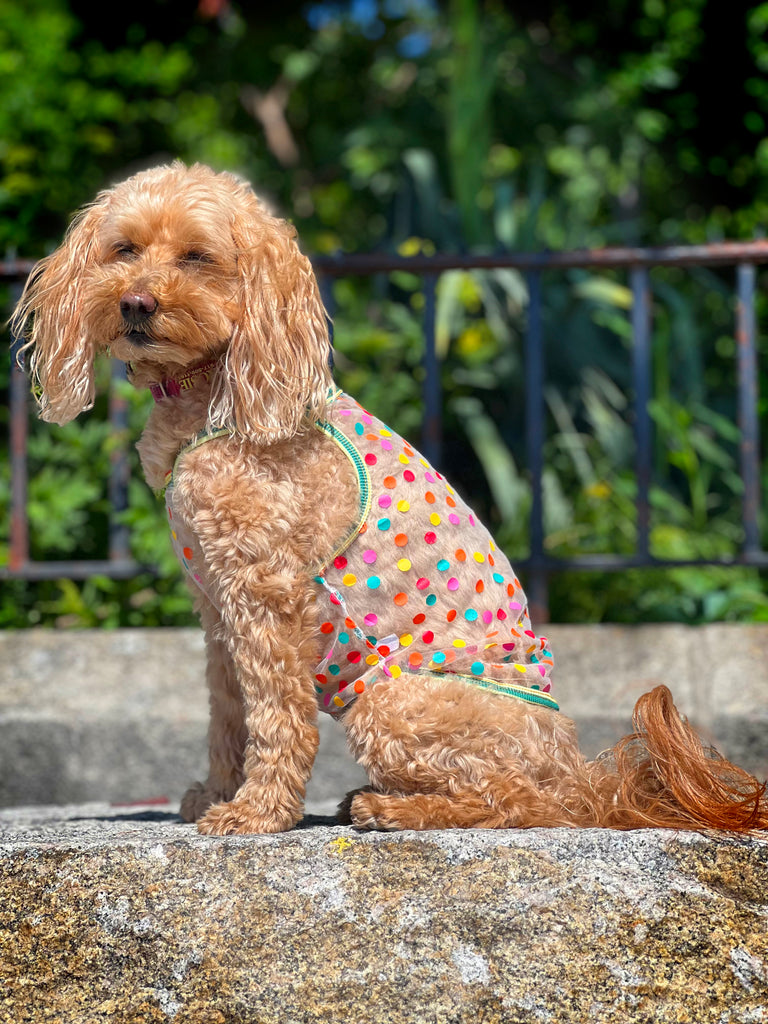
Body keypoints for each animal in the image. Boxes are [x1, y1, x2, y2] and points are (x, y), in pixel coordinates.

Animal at [13, 162, 768, 834]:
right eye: (124, 249)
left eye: (198, 256)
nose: (136, 303)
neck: (209, 394)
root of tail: (581, 773)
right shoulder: (217, 609)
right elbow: (228, 714)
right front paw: (216, 793)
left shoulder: (264, 593)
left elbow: (277, 719)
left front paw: (257, 815)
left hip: (392, 703)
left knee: (522, 803)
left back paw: (394, 810)